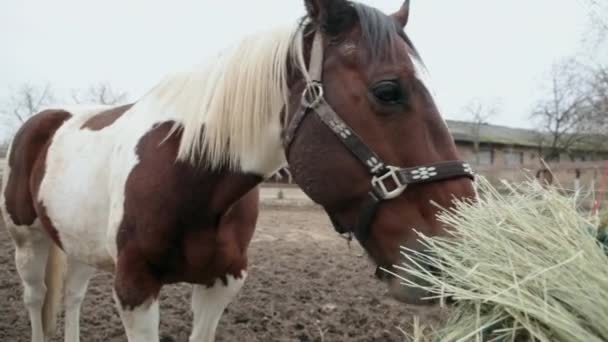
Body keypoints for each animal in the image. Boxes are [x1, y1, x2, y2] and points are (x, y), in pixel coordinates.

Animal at [1, 0, 476, 342]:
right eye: (388, 91)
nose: (459, 256)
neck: (186, 176)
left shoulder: (222, 284)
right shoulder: (135, 289)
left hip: (78, 242)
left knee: (74, 295)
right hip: (28, 240)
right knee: (36, 299)